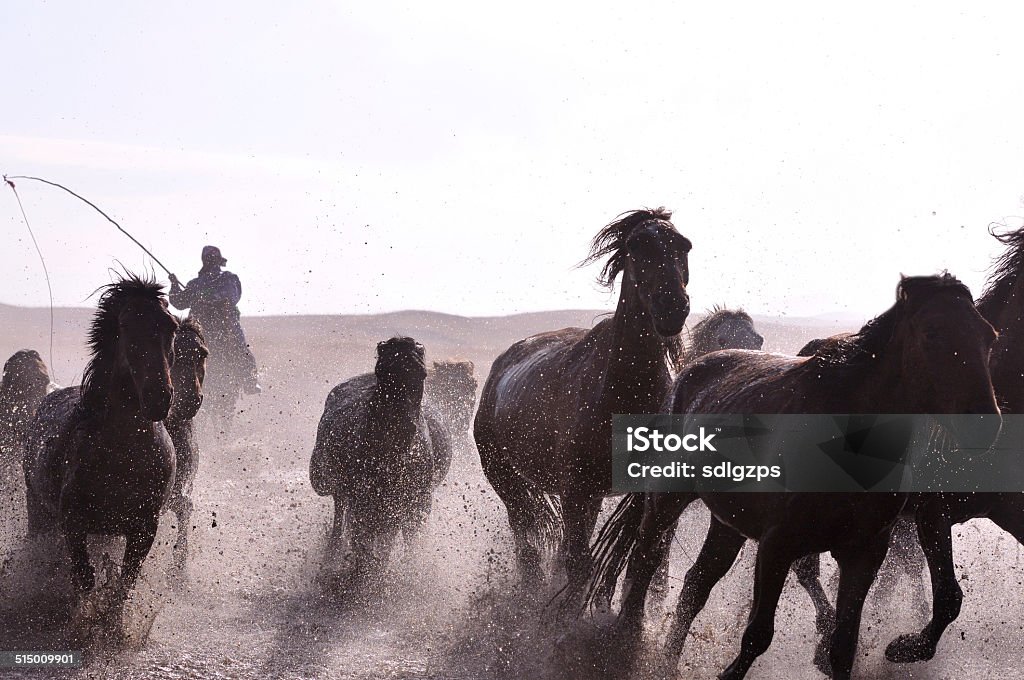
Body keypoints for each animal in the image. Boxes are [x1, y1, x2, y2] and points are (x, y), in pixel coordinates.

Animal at [22, 272, 179, 630]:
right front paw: (84, 622)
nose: (159, 397)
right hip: (39, 511)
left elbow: (124, 582)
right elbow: (84, 577)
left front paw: (114, 627)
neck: (123, 455)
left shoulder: (143, 528)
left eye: (171, 325)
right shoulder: (73, 523)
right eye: (126, 324)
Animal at [307, 335, 444, 585]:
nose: (402, 428)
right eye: (381, 371)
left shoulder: (409, 501)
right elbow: (363, 538)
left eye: (422, 374)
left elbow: (396, 539)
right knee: (341, 516)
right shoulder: (363, 499)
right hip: (337, 489)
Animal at [471, 206, 688, 585]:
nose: (673, 306)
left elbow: (640, 562)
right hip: (506, 479)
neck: (622, 392)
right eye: (637, 246)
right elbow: (578, 563)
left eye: (684, 246)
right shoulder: (576, 491)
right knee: (527, 544)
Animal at [585, 274, 999, 680]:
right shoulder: (777, 544)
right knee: (644, 562)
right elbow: (756, 634)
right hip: (668, 498)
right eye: (932, 332)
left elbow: (843, 647)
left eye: (989, 336)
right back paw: (628, 643)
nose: (985, 424)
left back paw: (667, 662)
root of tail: (693, 370)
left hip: (728, 523)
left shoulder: (864, 554)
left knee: (695, 585)